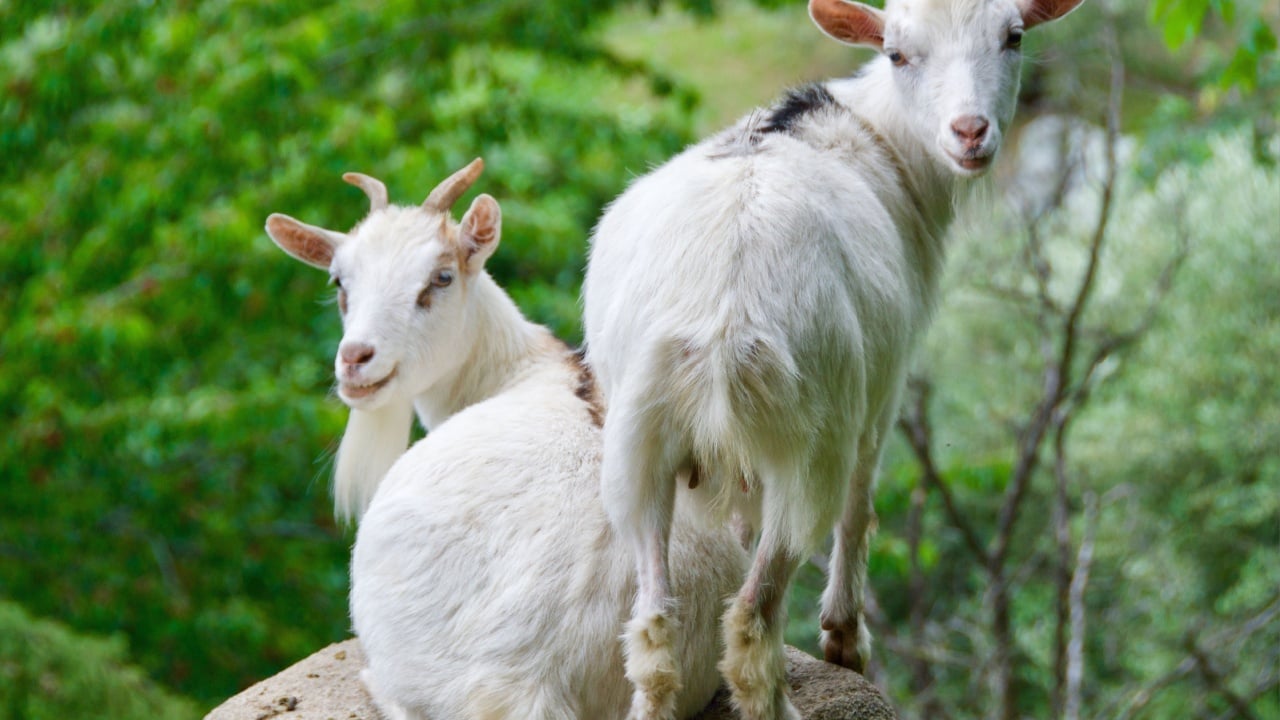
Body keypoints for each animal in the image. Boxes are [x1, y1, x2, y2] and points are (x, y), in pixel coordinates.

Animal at [580, 0, 1087, 717]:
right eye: (898, 53)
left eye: (1012, 37)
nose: (969, 132)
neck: (875, 131)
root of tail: (723, 307)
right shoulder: (883, 388)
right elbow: (861, 507)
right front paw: (845, 640)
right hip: (814, 436)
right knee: (756, 607)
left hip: (636, 441)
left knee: (654, 625)